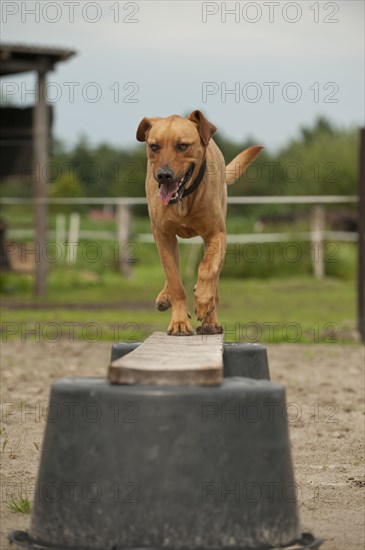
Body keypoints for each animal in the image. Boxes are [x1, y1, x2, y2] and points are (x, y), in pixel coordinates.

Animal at [136, 110, 262, 336]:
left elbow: (207, 269)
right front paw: (178, 322)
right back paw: (165, 296)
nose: (163, 175)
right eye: (154, 146)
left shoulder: (216, 234)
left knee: (215, 279)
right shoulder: (163, 235)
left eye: (182, 146)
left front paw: (203, 301)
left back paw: (211, 321)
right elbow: (174, 280)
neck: (183, 198)